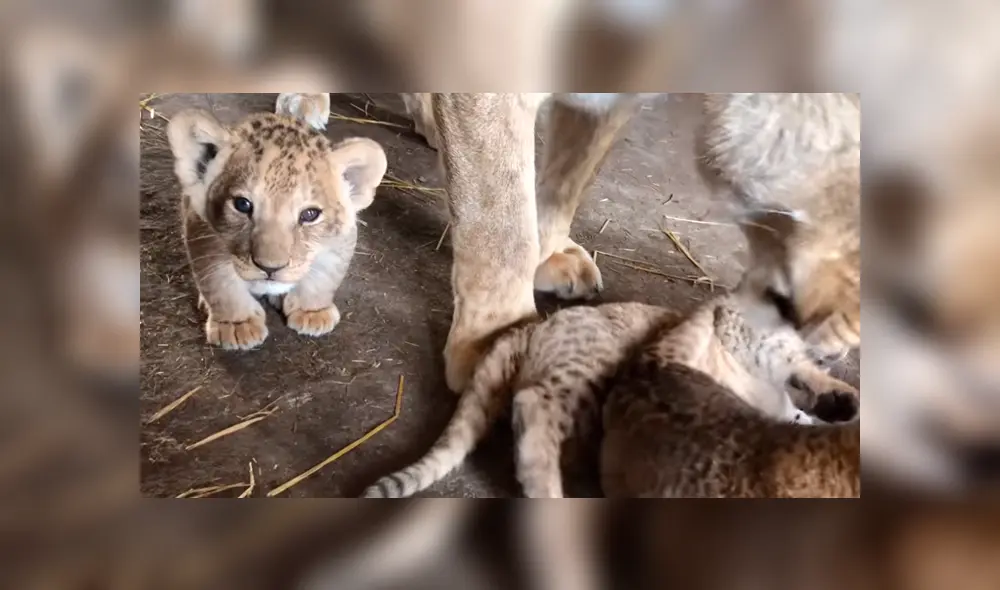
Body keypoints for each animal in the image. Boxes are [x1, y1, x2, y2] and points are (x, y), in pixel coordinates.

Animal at [166, 109, 388, 349]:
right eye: (242, 204)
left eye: (310, 215)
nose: (269, 267)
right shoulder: (204, 234)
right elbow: (221, 286)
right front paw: (237, 325)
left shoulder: (340, 240)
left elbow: (325, 278)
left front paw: (312, 312)